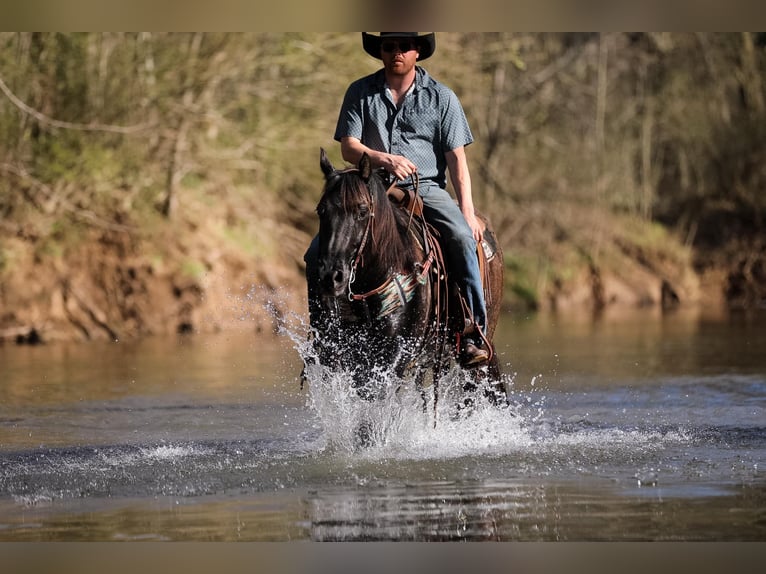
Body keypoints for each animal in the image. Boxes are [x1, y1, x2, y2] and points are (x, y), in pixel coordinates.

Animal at [306, 148, 510, 436]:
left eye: (362, 210)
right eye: (321, 210)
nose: (331, 277)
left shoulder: (397, 356)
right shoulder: (348, 356)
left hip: (481, 337)